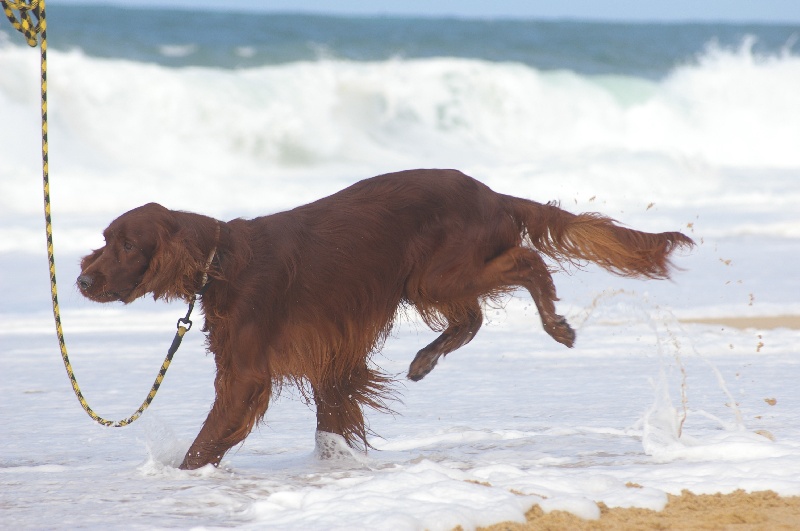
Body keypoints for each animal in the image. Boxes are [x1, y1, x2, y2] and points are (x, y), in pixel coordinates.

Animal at [79, 170, 692, 470]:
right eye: (105, 239)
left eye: (127, 244)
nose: (82, 282)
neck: (220, 260)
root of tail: (493, 194)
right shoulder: (330, 355)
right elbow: (333, 415)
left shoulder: (247, 374)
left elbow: (206, 442)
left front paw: (184, 475)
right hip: (430, 279)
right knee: (472, 316)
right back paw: (424, 360)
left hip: (436, 273)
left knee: (526, 262)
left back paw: (555, 324)